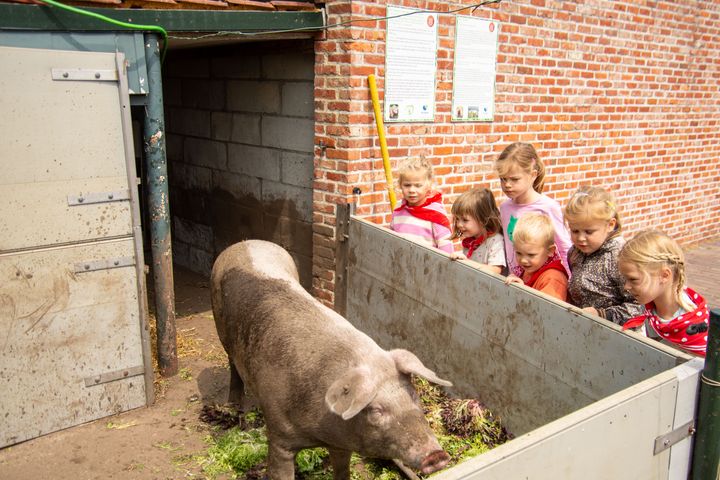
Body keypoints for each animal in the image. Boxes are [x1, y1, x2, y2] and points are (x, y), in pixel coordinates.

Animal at [211, 242, 452, 478]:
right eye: (376, 410)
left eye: (414, 395)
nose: (437, 455)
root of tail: (244, 243)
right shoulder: (279, 435)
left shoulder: (341, 443)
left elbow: (342, 470)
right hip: (221, 327)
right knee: (233, 367)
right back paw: (235, 409)